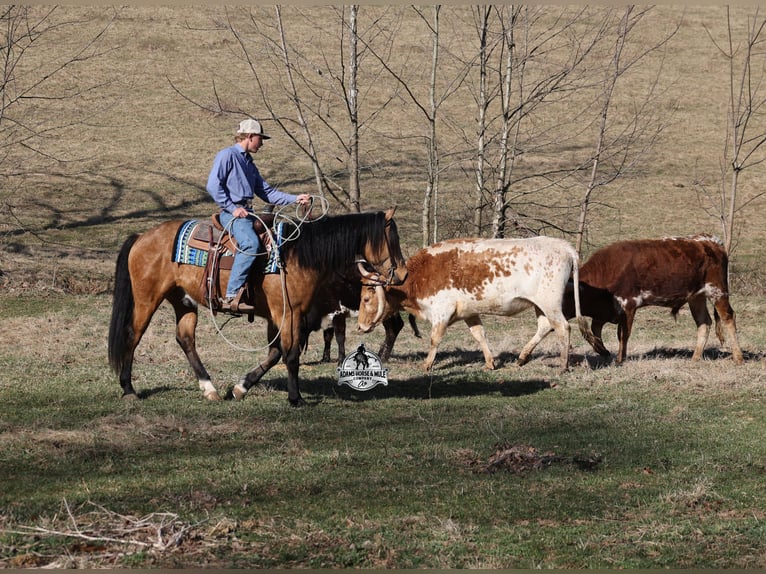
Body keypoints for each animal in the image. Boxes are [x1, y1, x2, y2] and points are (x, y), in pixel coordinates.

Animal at [108, 207, 407, 406]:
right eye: (392, 239)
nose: (403, 274)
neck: (299, 256)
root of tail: (142, 237)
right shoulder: (289, 313)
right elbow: (291, 355)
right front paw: (296, 398)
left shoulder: (282, 317)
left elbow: (275, 354)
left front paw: (240, 388)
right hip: (147, 299)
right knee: (133, 335)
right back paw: (129, 389)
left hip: (183, 301)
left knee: (185, 339)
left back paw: (209, 388)